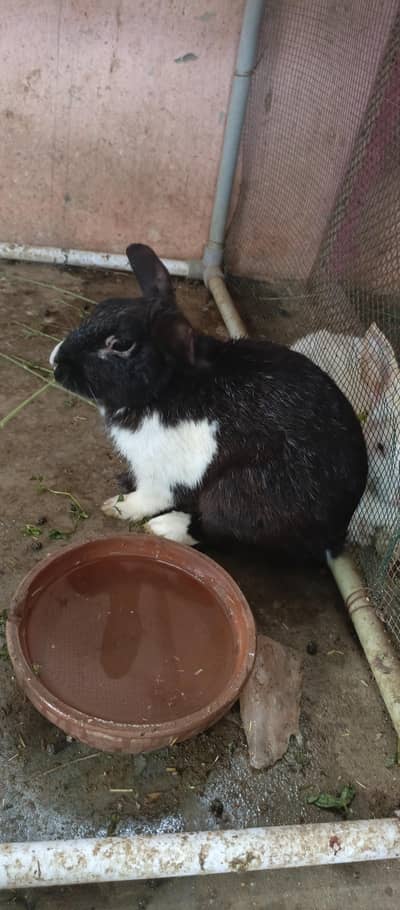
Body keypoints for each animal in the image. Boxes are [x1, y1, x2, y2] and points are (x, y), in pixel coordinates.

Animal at [49, 243, 368, 565]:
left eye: (120, 345)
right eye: (100, 308)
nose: (56, 362)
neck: (165, 390)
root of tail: (334, 535)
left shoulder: (162, 472)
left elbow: (151, 498)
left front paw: (119, 506)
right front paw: (123, 486)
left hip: (239, 493)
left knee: (219, 530)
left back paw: (166, 527)